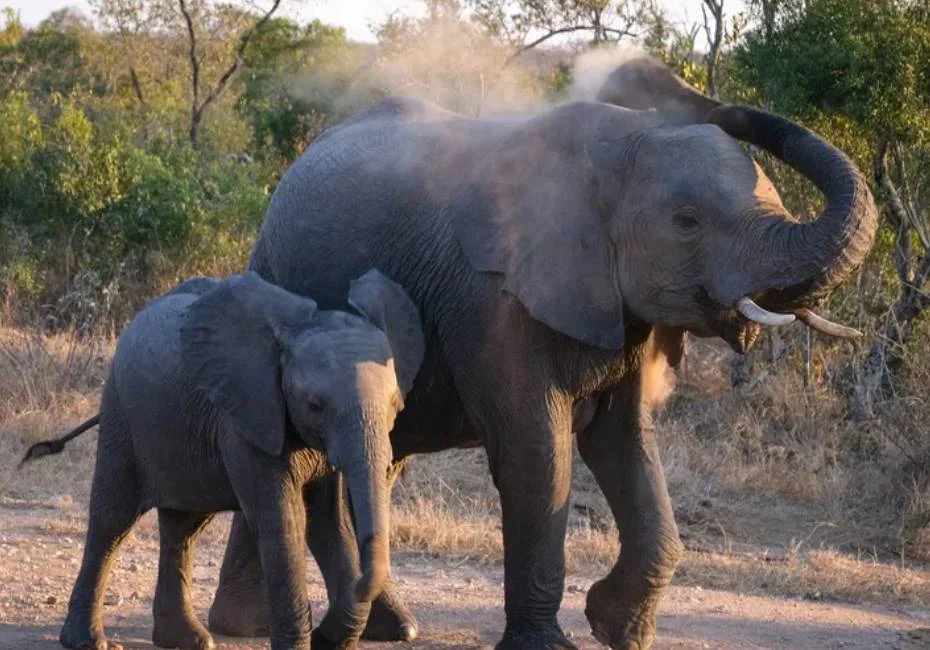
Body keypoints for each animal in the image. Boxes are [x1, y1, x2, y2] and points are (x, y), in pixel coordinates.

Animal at [20, 269, 425, 650]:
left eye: (395, 405)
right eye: (315, 405)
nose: (321, 635)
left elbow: (328, 524)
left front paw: (328, 639)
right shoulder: (244, 419)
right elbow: (285, 521)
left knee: (184, 527)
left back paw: (187, 640)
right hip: (121, 414)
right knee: (112, 519)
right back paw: (89, 641)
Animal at [206, 57, 878, 650]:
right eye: (687, 221)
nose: (665, 81)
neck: (616, 149)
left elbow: (626, 441)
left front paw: (618, 630)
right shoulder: (492, 295)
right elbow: (538, 454)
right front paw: (551, 644)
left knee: (374, 459)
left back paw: (350, 627)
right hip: (276, 275)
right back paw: (264, 626)